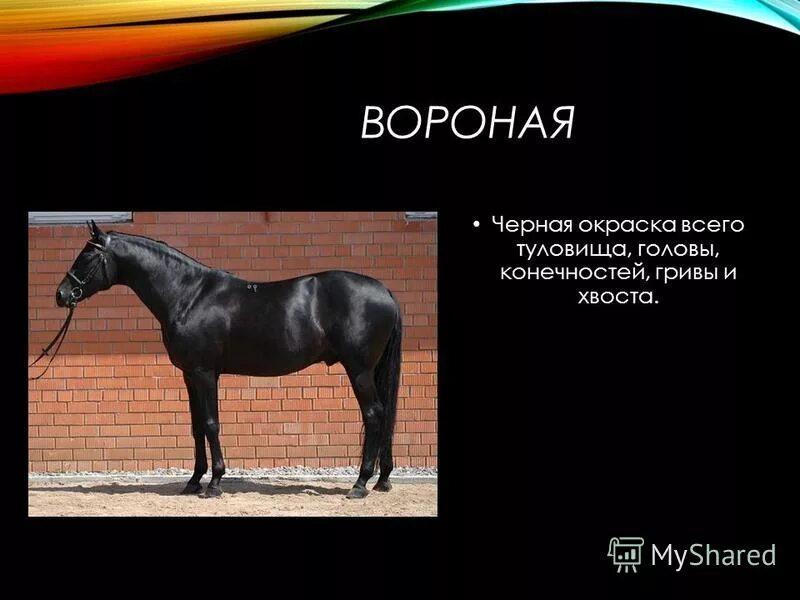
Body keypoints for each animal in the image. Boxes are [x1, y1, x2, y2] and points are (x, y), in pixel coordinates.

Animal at [53, 221, 402, 499]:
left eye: (87, 256)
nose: (62, 294)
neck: (188, 295)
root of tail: (384, 291)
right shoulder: (190, 375)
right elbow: (196, 426)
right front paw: (194, 480)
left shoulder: (205, 372)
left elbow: (211, 423)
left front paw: (215, 483)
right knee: (384, 415)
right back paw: (382, 479)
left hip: (359, 370)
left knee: (374, 415)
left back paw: (360, 484)